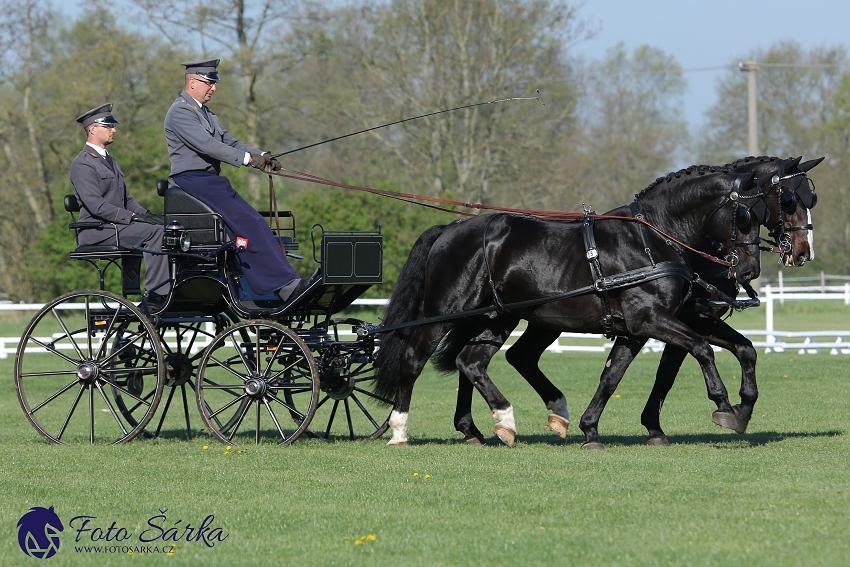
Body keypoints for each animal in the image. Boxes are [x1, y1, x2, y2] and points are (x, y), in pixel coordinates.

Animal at [372, 166, 760, 446]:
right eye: (744, 217)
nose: (749, 271)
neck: (651, 239)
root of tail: (450, 228)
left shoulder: (639, 328)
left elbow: (613, 375)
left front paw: (592, 430)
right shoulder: (648, 319)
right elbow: (702, 349)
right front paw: (725, 406)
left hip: (497, 318)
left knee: (472, 361)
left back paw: (507, 420)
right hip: (443, 314)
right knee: (414, 361)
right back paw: (399, 430)